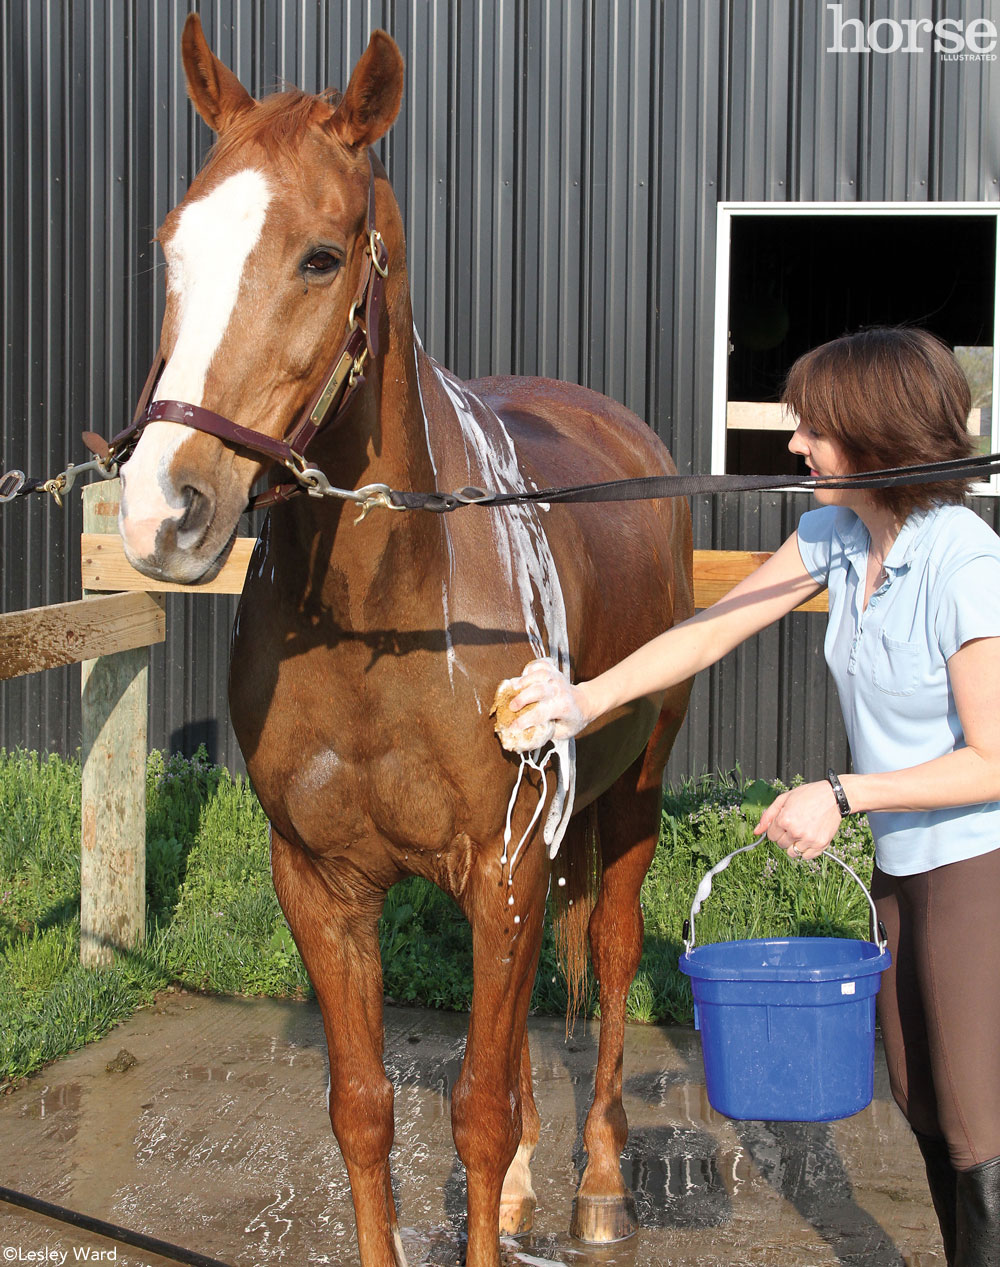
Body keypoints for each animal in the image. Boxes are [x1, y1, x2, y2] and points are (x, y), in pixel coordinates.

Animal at [117, 12, 689, 1267]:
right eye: (172, 248)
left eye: (322, 256)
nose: (162, 510)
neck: (382, 630)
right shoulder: (321, 883)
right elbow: (367, 1110)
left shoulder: (504, 865)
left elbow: (473, 1109)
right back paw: (527, 1187)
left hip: (631, 798)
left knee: (611, 961)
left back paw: (597, 1187)